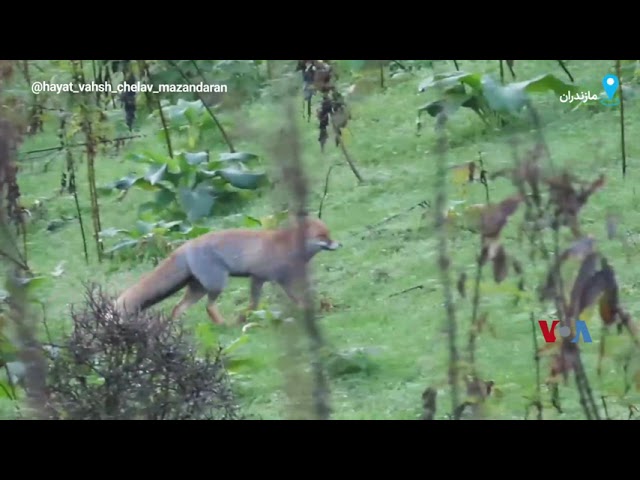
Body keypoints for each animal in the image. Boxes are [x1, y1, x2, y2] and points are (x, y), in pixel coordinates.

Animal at [112, 217, 342, 326]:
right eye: (323, 236)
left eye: (329, 234)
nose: (338, 244)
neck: (289, 246)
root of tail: (186, 245)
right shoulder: (271, 278)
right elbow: (291, 299)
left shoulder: (261, 279)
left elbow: (255, 304)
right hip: (217, 283)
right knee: (209, 307)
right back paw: (224, 325)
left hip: (198, 288)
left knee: (178, 308)